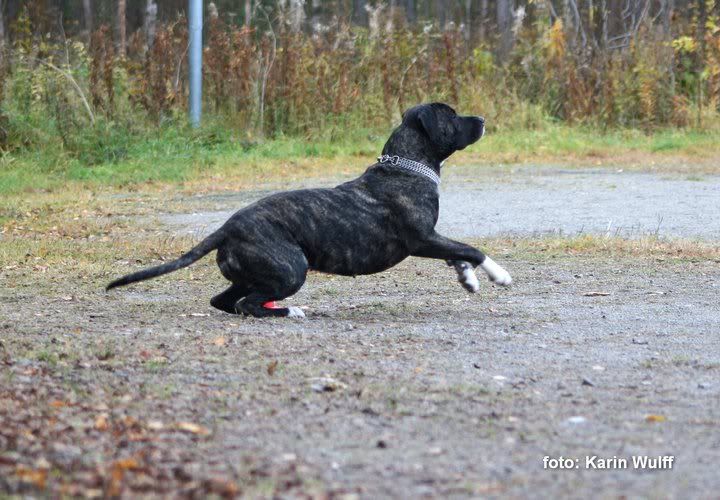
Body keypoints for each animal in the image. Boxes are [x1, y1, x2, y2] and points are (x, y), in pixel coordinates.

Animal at [107, 103, 512, 317]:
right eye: (451, 116)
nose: (482, 120)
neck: (405, 166)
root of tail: (226, 227)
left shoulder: (433, 239)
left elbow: (459, 253)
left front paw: (469, 279)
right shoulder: (423, 240)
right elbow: (472, 249)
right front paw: (499, 274)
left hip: (253, 273)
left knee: (227, 302)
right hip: (291, 269)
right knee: (249, 305)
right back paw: (288, 312)